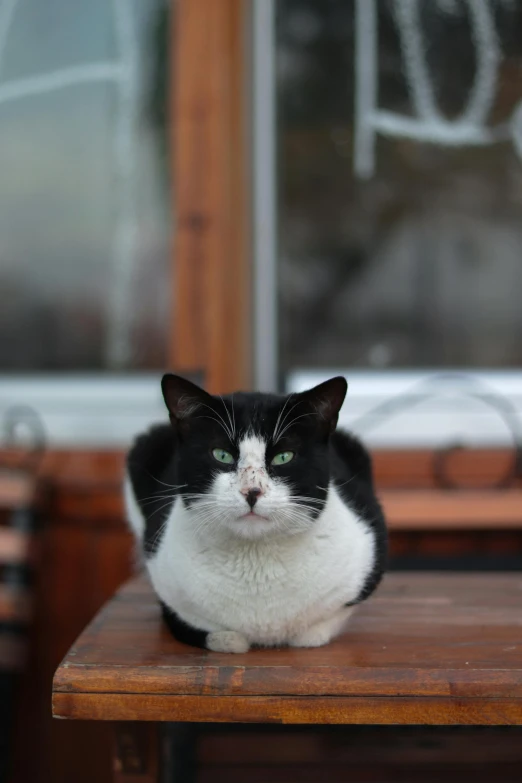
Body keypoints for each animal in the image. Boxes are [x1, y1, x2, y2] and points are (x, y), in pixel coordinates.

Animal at [124, 374, 386, 656]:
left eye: (284, 456)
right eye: (222, 455)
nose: (251, 492)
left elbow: (318, 629)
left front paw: (308, 636)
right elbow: (192, 622)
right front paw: (229, 639)